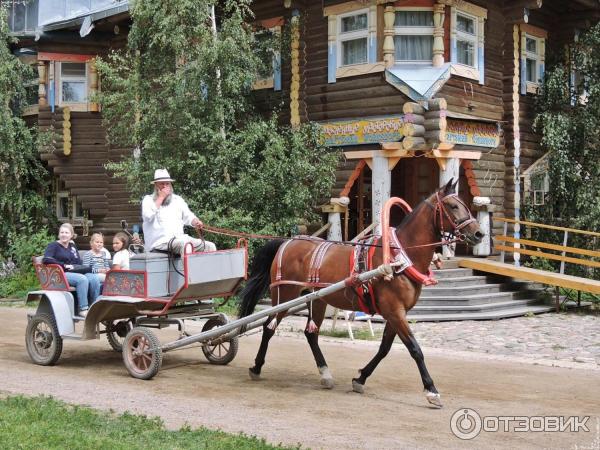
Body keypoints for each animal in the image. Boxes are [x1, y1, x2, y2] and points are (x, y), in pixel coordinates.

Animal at [237, 180, 486, 408]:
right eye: (453, 206)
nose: (479, 233)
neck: (399, 258)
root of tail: (287, 242)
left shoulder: (396, 314)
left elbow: (384, 349)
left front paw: (360, 378)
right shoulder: (395, 312)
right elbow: (415, 349)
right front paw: (431, 390)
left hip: (316, 300)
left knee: (310, 333)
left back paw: (325, 374)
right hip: (285, 296)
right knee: (269, 327)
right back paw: (257, 367)